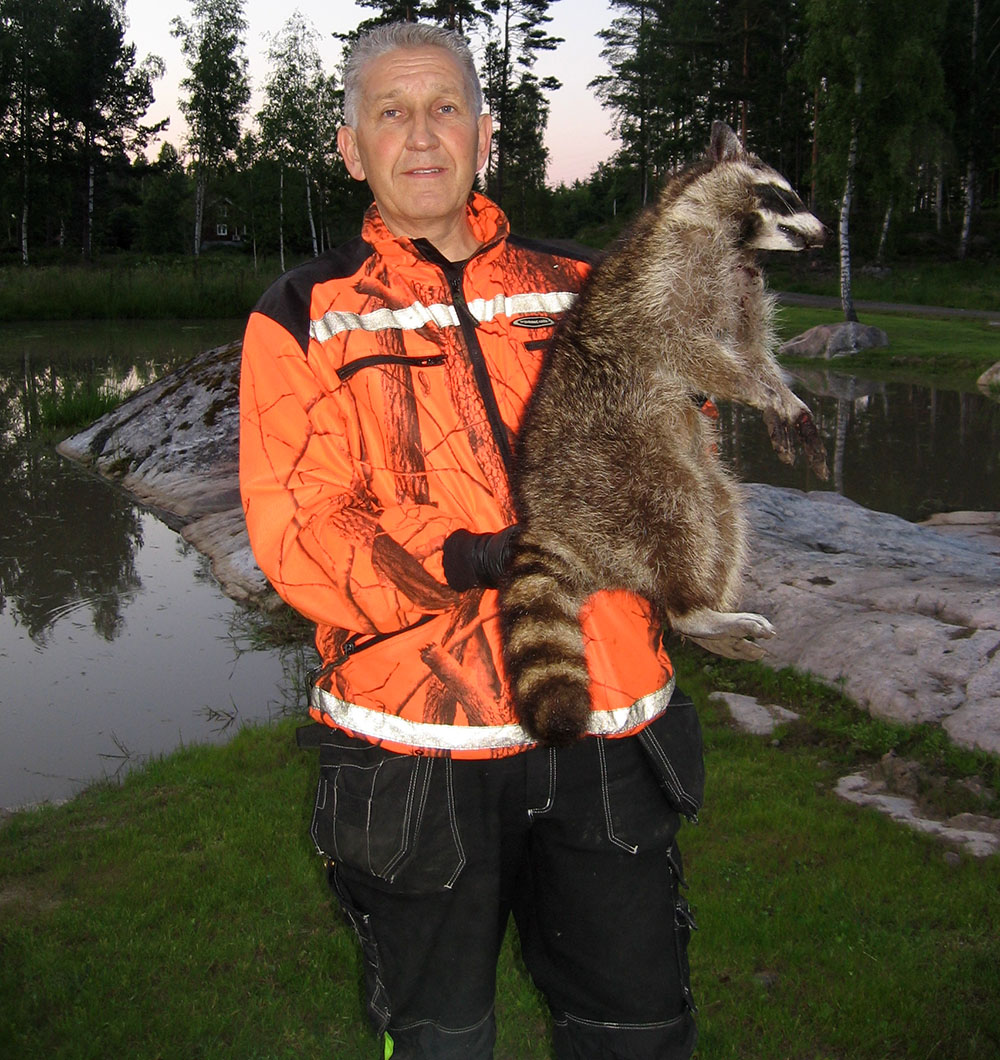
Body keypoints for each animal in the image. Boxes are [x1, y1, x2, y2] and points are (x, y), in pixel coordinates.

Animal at [500, 121, 827, 746]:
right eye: (782, 195)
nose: (824, 236)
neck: (730, 236)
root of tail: (552, 521)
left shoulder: (743, 287)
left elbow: (752, 347)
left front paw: (784, 395)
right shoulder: (664, 280)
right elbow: (694, 350)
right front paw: (762, 391)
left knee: (721, 507)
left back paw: (704, 607)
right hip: (615, 473)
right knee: (680, 509)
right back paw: (692, 608)